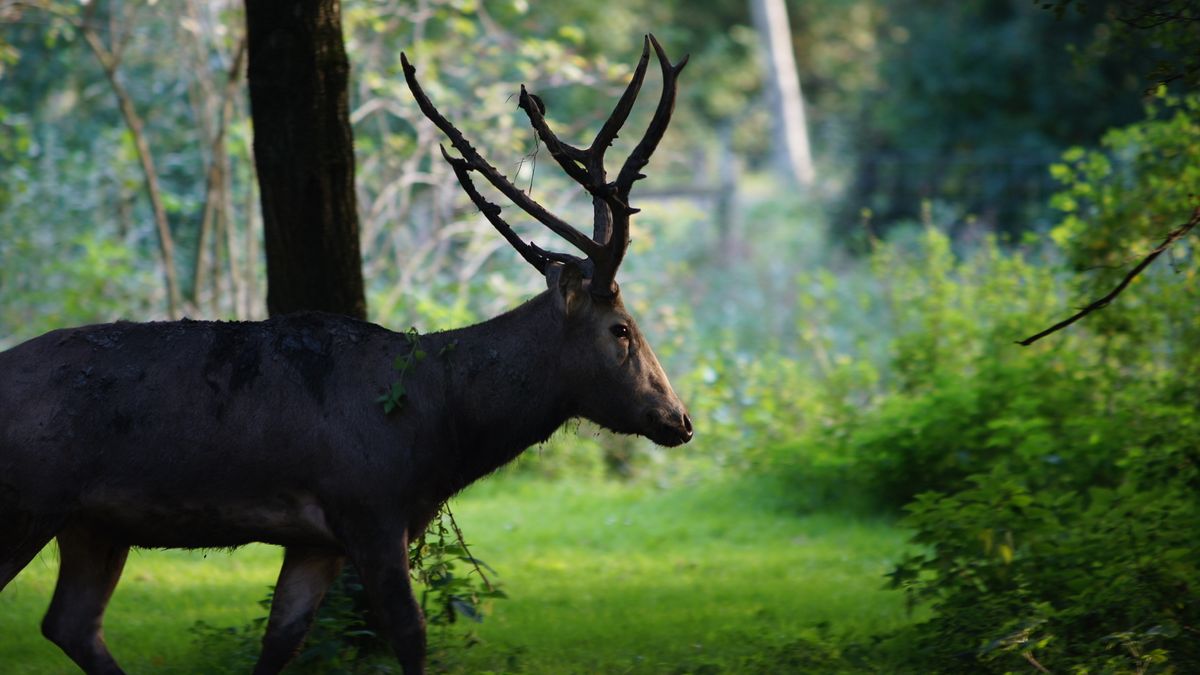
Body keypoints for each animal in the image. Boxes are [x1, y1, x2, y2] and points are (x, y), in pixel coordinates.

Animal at [0, 35, 691, 672]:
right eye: (622, 329)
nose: (679, 419)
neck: (438, 431)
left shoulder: (318, 541)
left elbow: (281, 641)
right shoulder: (369, 506)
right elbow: (410, 634)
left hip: (92, 523)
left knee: (70, 623)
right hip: (28, 500)